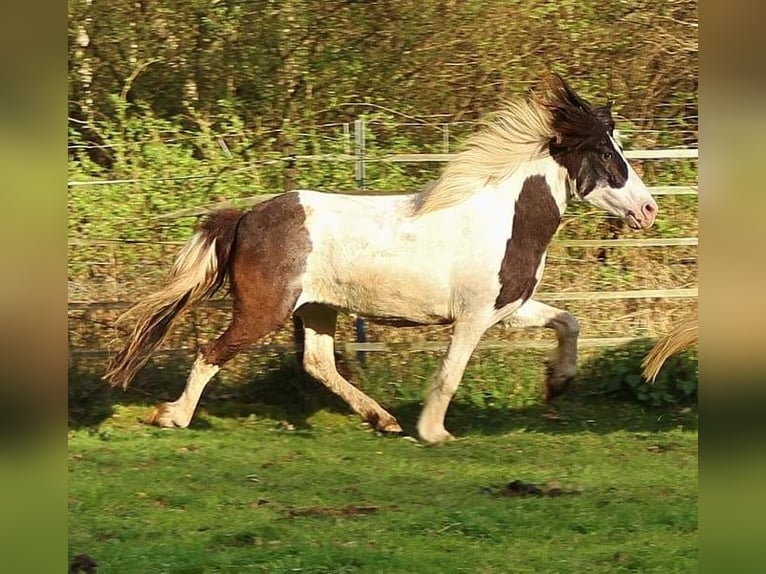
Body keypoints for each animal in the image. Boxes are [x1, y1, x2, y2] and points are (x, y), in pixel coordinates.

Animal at [104, 74, 658, 443]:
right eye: (606, 155)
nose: (649, 209)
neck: (503, 219)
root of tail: (245, 218)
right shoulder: (474, 317)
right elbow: (450, 373)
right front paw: (434, 431)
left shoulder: (510, 307)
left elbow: (570, 321)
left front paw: (558, 383)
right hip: (264, 310)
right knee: (212, 353)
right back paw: (172, 417)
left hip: (316, 309)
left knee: (317, 363)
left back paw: (382, 419)